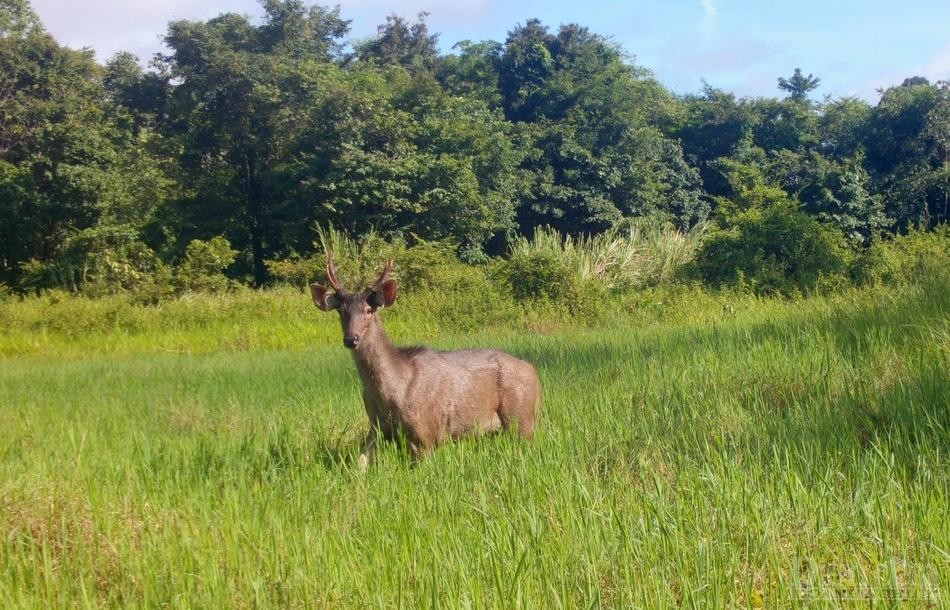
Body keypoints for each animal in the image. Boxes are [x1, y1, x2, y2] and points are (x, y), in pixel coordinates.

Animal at [310, 254, 541, 467]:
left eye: (369, 310)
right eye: (341, 312)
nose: (351, 339)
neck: (391, 392)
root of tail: (534, 372)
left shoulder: (425, 434)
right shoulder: (376, 428)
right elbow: (359, 464)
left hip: (521, 416)